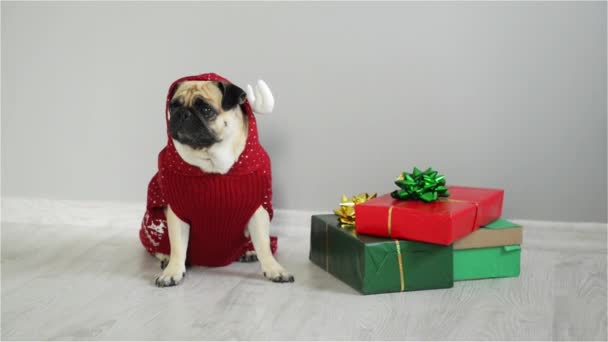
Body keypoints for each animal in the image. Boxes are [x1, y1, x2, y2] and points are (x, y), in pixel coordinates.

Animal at [142, 73, 294, 288]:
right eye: (173, 106)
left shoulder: (257, 211)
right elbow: (178, 246)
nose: (183, 114)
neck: (213, 164)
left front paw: (274, 269)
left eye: (206, 109)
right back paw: (165, 257)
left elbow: (264, 244)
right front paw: (173, 271)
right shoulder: (177, 213)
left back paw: (248, 251)